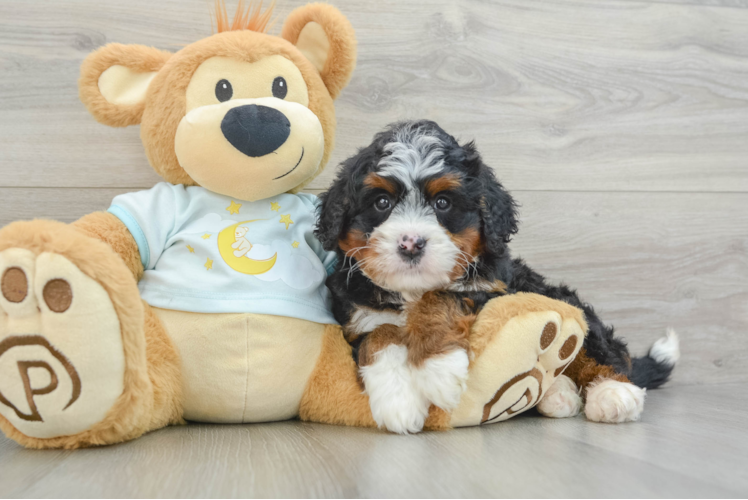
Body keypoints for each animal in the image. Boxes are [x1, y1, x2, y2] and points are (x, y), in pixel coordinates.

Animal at [316, 120, 676, 434]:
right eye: (382, 202)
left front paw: (439, 368)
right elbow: (380, 334)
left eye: (443, 202)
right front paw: (398, 402)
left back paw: (613, 393)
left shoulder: (495, 290)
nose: (410, 243)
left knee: (604, 351)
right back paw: (559, 394)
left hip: (559, 299)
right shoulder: (356, 315)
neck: (411, 292)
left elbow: (441, 295)